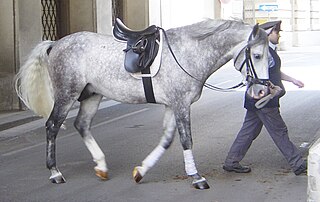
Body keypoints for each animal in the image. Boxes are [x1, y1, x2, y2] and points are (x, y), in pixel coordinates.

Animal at [15, 19, 270, 189]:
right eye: (257, 55)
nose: (262, 90)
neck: (189, 52)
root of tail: (55, 44)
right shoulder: (180, 104)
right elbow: (186, 139)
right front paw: (196, 177)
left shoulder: (171, 105)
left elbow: (167, 141)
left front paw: (141, 171)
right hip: (67, 94)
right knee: (52, 126)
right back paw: (55, 173)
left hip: (92, 95)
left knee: (82, 125)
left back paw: (101, 166)